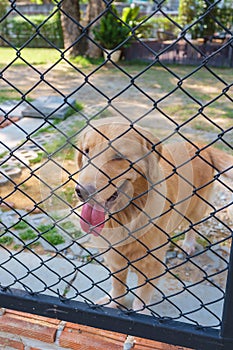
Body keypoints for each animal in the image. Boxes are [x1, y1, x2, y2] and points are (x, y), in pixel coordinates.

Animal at [75, 119, 232, 314]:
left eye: (118, 156)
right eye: (86, 151)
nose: (81, 191)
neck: (128, 214)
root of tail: (201, 146)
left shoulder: (152, 264)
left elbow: (142, 295)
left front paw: (140, 312)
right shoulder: (115, 258)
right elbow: (118, 285)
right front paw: (113, 303)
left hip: (197, 205)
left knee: (193, 225)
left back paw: (188, 244)